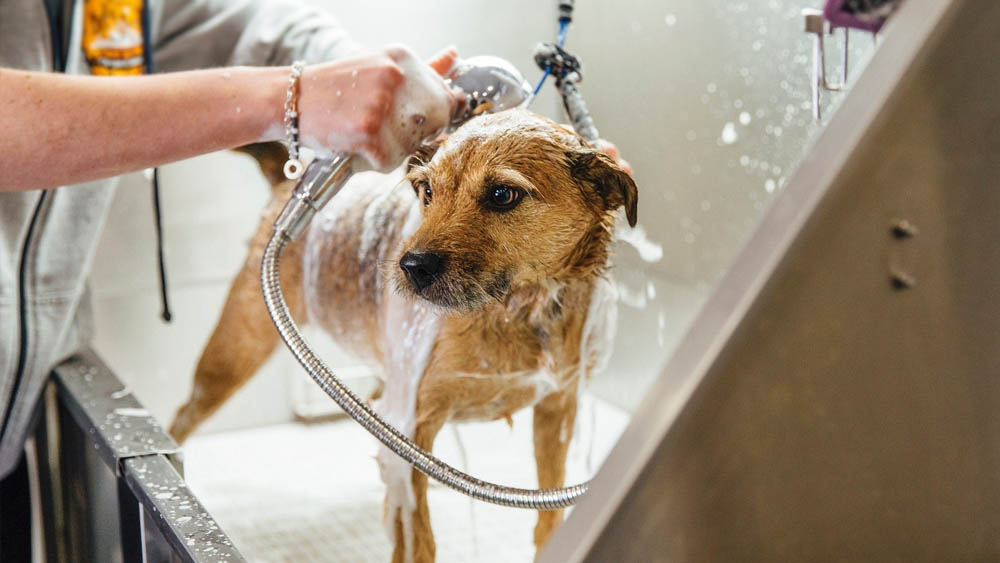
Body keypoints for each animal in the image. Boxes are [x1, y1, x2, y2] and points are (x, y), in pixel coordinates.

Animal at [168, 108, 636, 560]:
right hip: (232, 356)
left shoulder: (556, 412)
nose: (411, 266)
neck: (516, 311)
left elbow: (548, 518)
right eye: (426, 190)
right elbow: (419, 541)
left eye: (503, 194)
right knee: (183, 416)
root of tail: (290, 182)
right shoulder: (413, 428)